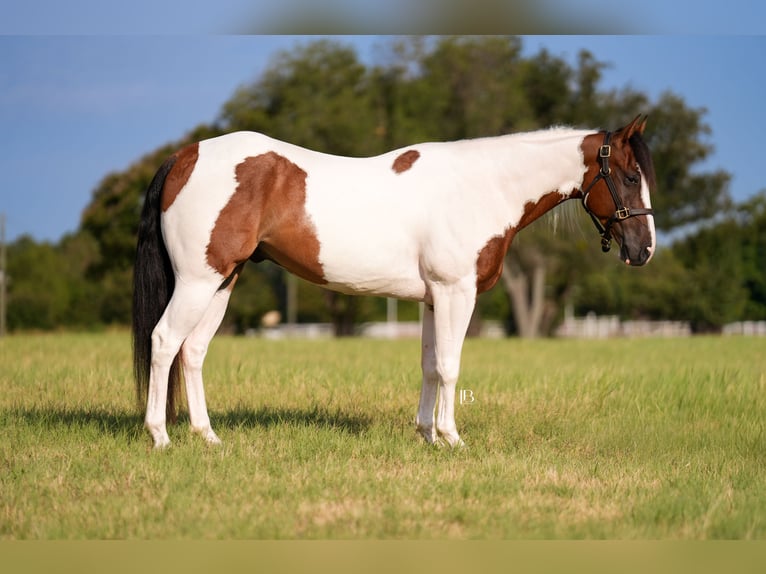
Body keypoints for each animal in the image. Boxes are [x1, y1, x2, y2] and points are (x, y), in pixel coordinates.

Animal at [132, 115, 656, 449]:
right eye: (631, 176)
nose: (644, 250)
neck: (481, 186)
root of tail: (185, 156)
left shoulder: (432, 299)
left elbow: (428, 366)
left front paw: (426, 435)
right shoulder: (455, 292)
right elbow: (449, 366)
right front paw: (452, 438)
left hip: (222, 282)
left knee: (193, 351)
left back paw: (208, 437)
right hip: (198, 280)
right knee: (164, 341)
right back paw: (160, 436)